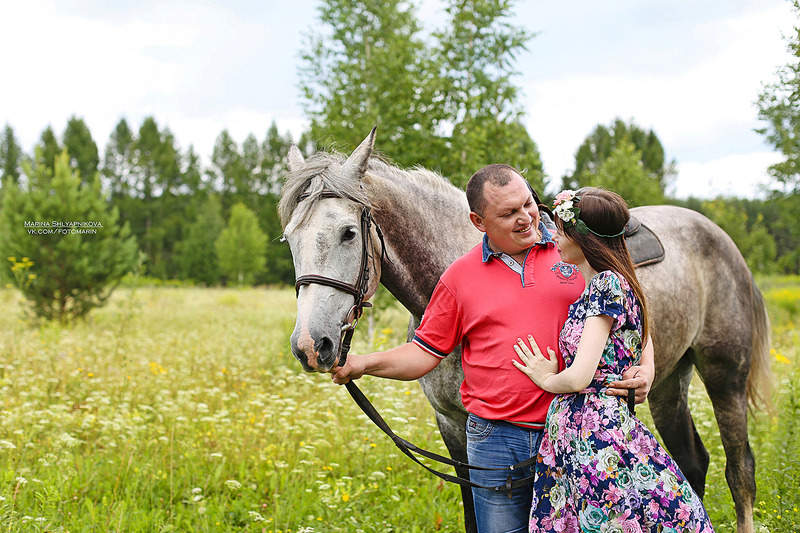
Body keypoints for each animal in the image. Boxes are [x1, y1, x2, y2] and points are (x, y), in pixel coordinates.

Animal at [280, 130, 768, 532]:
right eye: (289, 239)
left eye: (347, 233)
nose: (310, 345)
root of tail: (715, 233)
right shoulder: (455, 428)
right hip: (669, 383)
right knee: (693, 462)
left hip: (725, 375)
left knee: (740, 470)